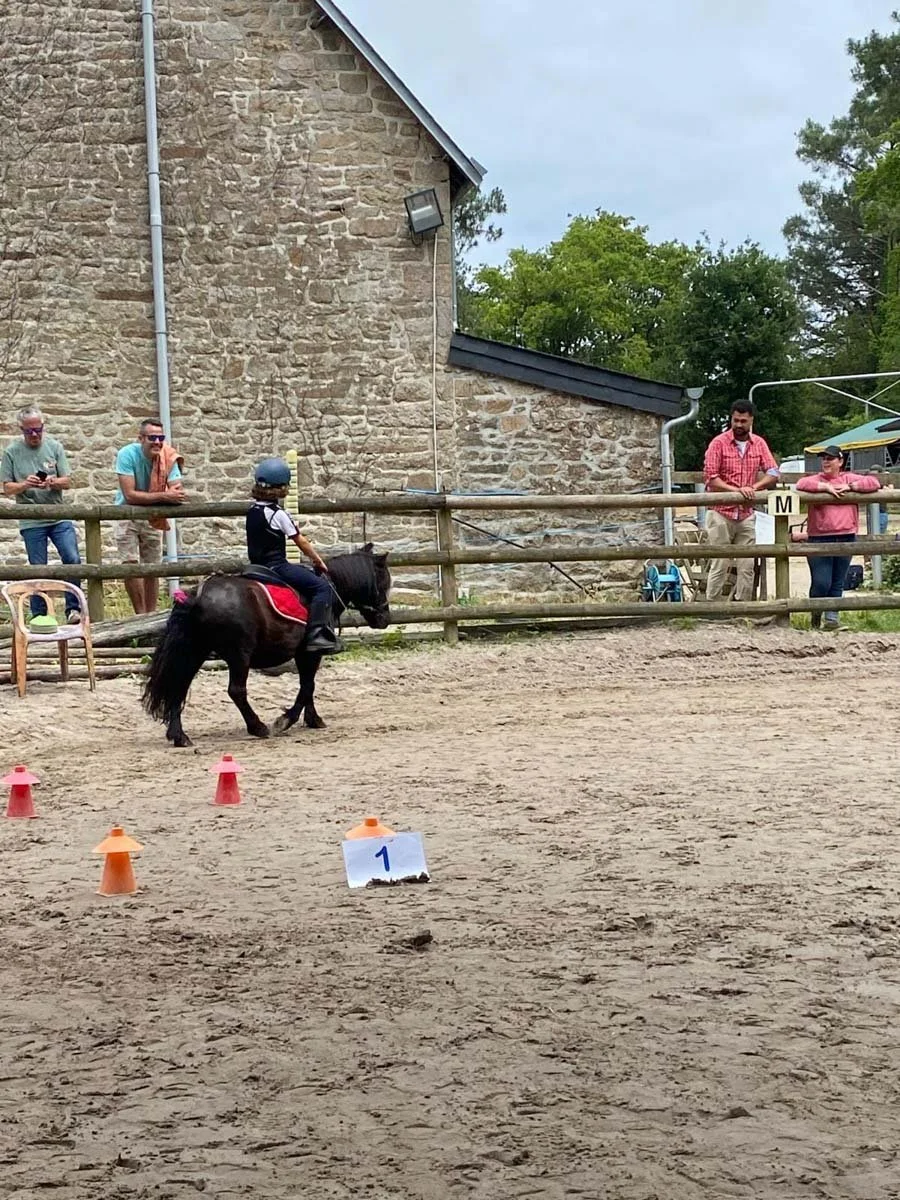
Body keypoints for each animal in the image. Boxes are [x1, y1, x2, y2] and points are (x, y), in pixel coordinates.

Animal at [141, 544, 391, 746]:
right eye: (385, 583)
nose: (384, 619)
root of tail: (198, 595)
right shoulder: (310, 653)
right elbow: (307, 686)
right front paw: (286, 720)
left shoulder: (304, 654)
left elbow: (308, 686)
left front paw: (313, 719)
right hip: (238, 654)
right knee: (236, 691)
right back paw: (257, 727)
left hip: (195, 651)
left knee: (179, 685)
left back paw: (179, 736)